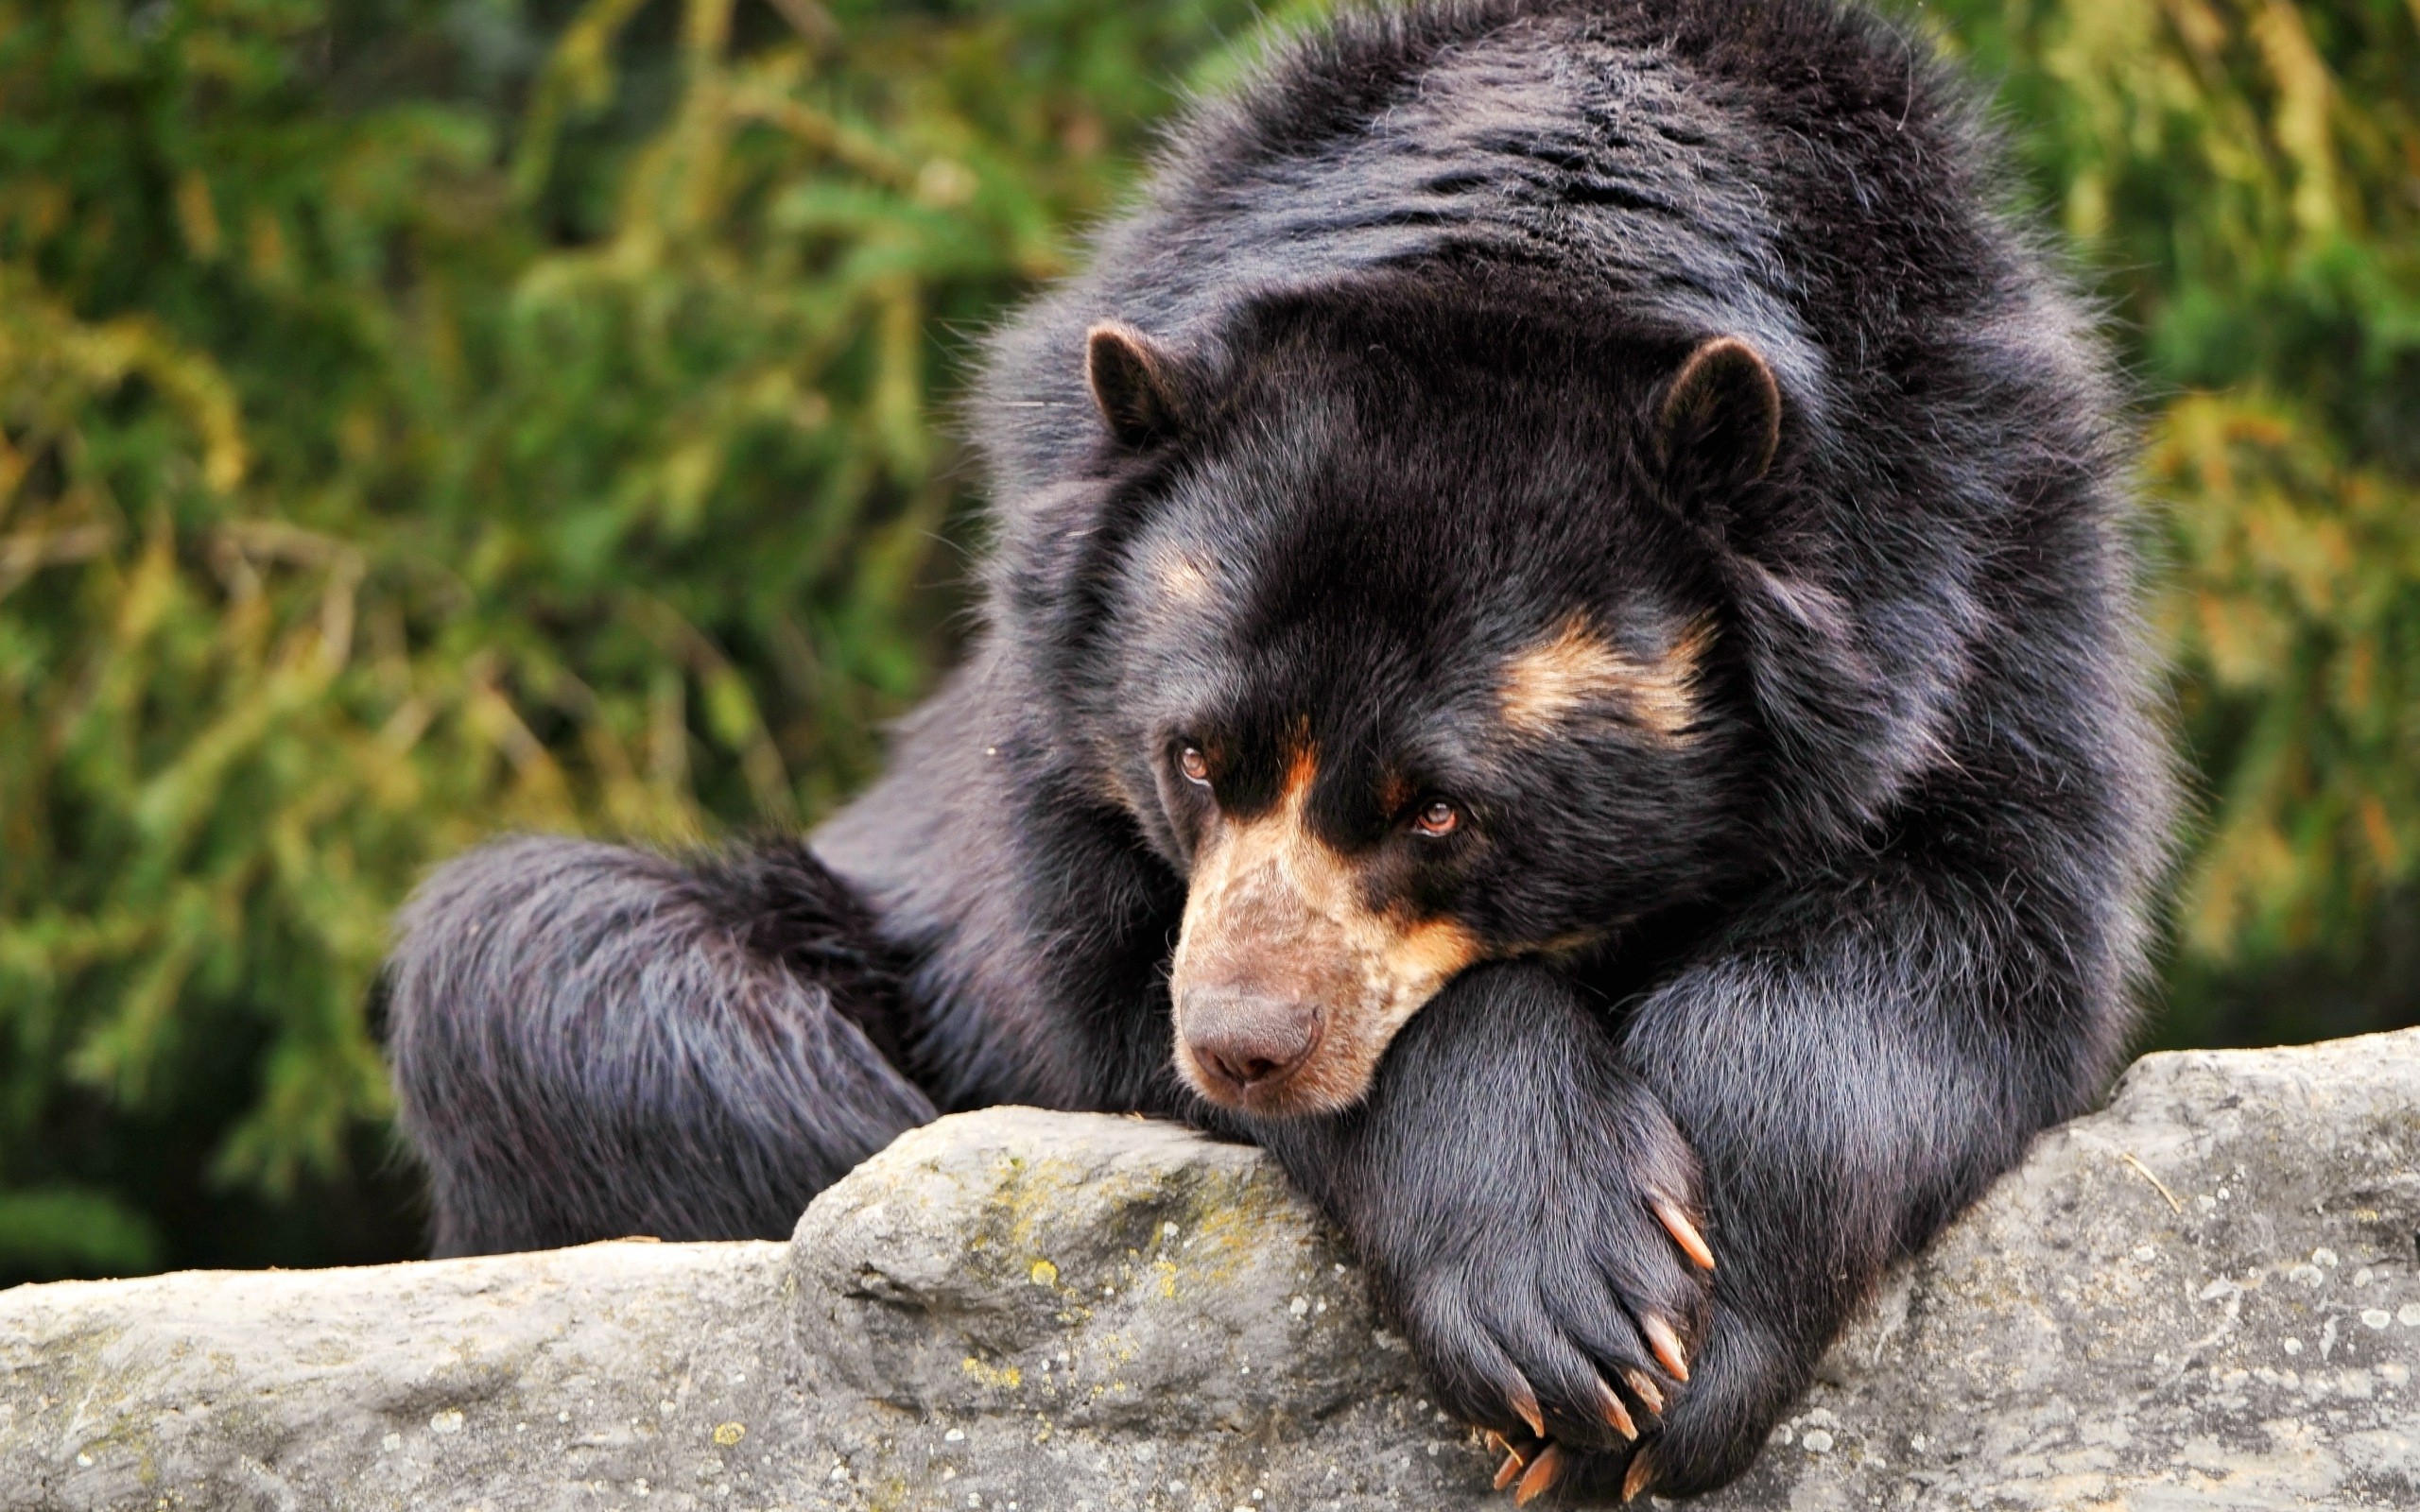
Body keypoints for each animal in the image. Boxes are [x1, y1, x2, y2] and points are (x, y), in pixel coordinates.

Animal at [382, 0, 2178, 1500]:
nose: (1244, 1042)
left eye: (1440, 811)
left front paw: (1675, 1351)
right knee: (544, 966)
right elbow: (1099, 981)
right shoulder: (1053, 701)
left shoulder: (1989, 565)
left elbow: (1975, 924)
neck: (1547, 233)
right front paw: (1569, 1310)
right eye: (1193, 759)